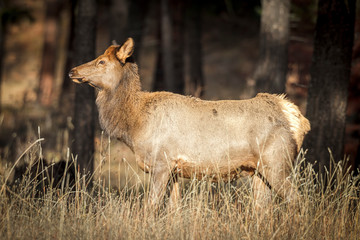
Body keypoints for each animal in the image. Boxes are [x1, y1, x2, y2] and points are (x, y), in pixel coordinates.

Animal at [69, 38, 310, 207]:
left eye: (101, 61)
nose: (72, 70)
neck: (135, 125)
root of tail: (297, 119)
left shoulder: (161, 162)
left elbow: (151, 207)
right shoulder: (175, 171)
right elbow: (173, 209)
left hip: (277, 162)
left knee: (299, 201)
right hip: (260, 170)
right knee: (263, 208)